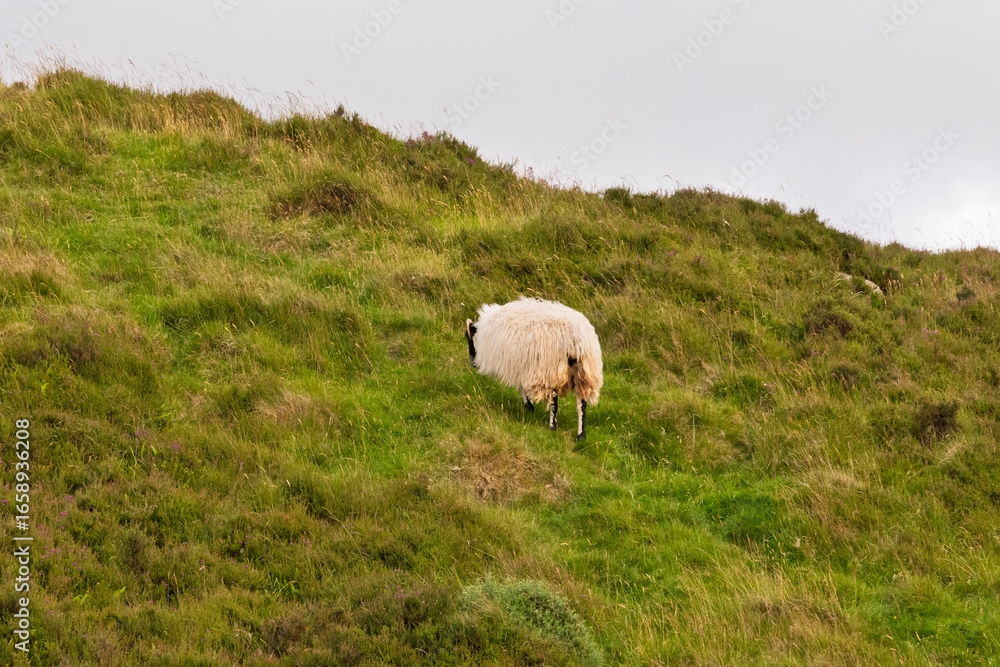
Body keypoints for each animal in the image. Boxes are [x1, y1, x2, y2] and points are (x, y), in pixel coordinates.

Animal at [464, 297, 603, 440]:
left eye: (468, 337)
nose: (472, 362)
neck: (485, 336)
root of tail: (577, 339)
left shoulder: (519, 367)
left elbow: (521, 387)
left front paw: (529, 406)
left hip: (552, 370)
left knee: (554, 401)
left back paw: (552, 427)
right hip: (585, 372)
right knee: (582, 403)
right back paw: (581, 435)